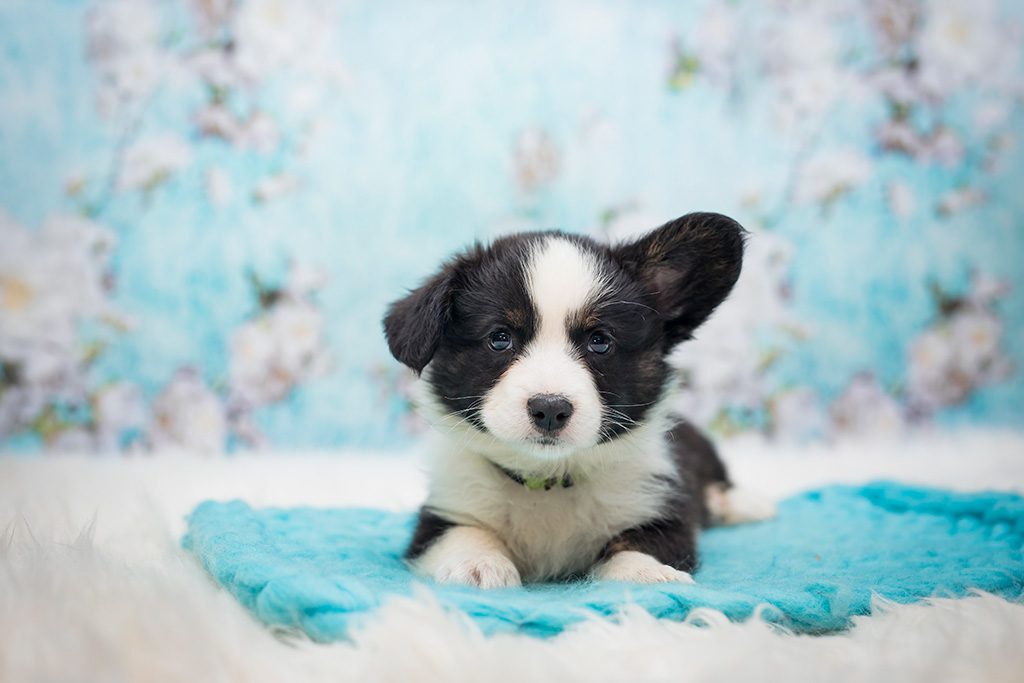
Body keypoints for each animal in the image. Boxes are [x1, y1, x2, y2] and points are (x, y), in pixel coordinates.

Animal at [382, 214, 770, 589]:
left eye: (599, 341)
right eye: (500, 338)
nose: (550, 409)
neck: (548, 479)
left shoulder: (662, 511)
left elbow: (634, 544)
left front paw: (645, 572)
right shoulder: (443, 514)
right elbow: (463, 533)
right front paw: (478, 565)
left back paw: (739, 503)